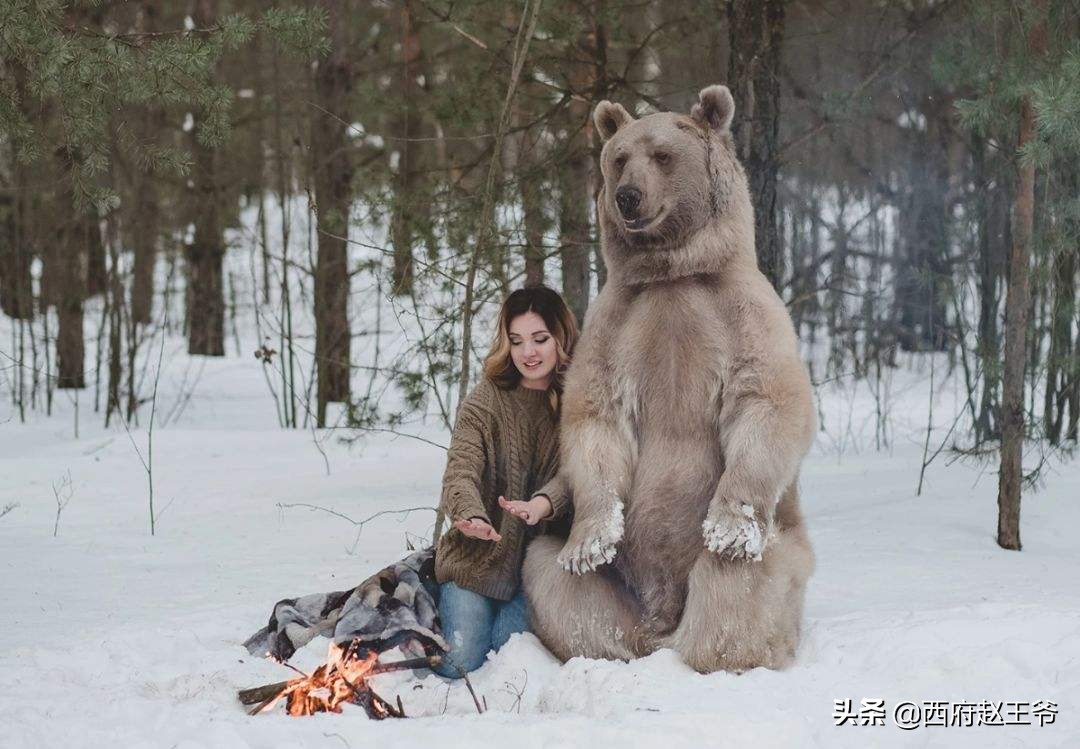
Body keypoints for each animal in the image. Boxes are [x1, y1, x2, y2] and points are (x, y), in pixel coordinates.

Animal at [518, 83, 812, 673]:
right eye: (618, 158)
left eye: (662, 155)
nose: (628, 197)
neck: (673, 272)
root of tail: (660, 622)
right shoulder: (615, 325)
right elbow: (595, 418)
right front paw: (591, 540)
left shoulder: (741, 314)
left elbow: (767, 400)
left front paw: (728, 525)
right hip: (609, 584)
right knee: (559, 586)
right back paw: (611, 646)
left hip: (772, 548)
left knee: (736, 589)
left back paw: (719, 651)